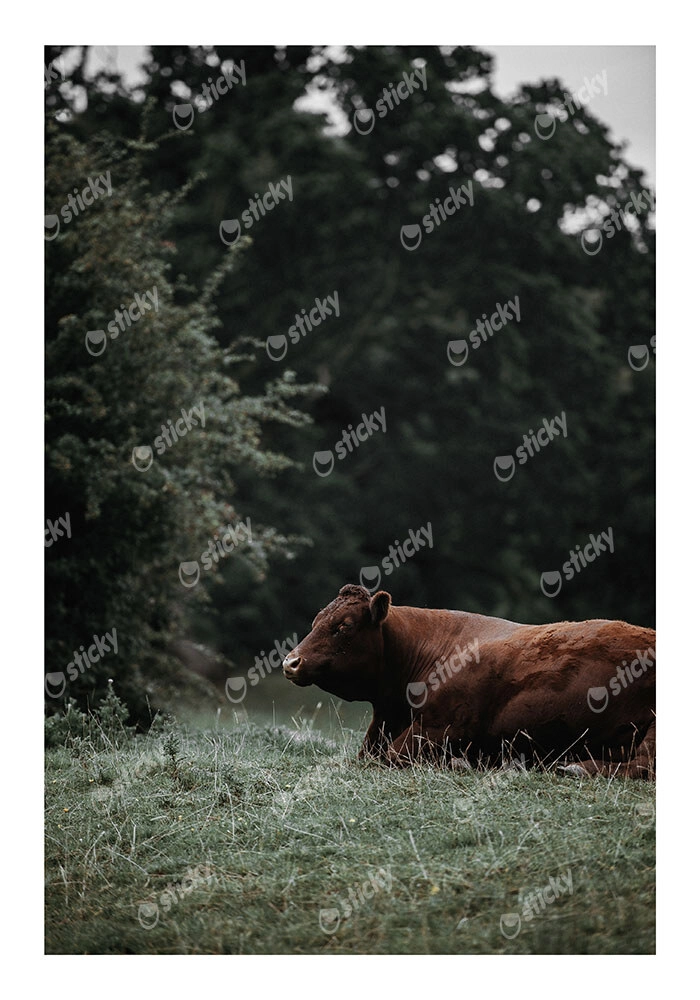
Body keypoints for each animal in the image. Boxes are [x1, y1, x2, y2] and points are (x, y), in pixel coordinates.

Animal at [282, 585, 655, 778]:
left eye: (343, 626)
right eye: (316, 620)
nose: (290, 662)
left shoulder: (437, 728)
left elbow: (389, 756)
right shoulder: (386, 721)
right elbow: (369, 754)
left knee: (643, 764)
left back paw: (577, 767)